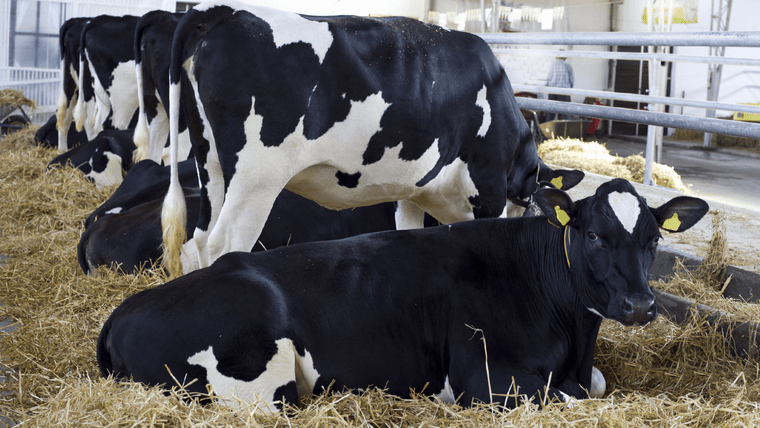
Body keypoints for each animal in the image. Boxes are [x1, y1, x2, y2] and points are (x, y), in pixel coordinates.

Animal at [97, 178, 710, 411]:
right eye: (593, 235)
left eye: (654, 239)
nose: (639, 306)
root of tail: (118, 314)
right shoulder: (488, 379)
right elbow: (571, 397)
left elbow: (595, 386)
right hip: (256, 381)